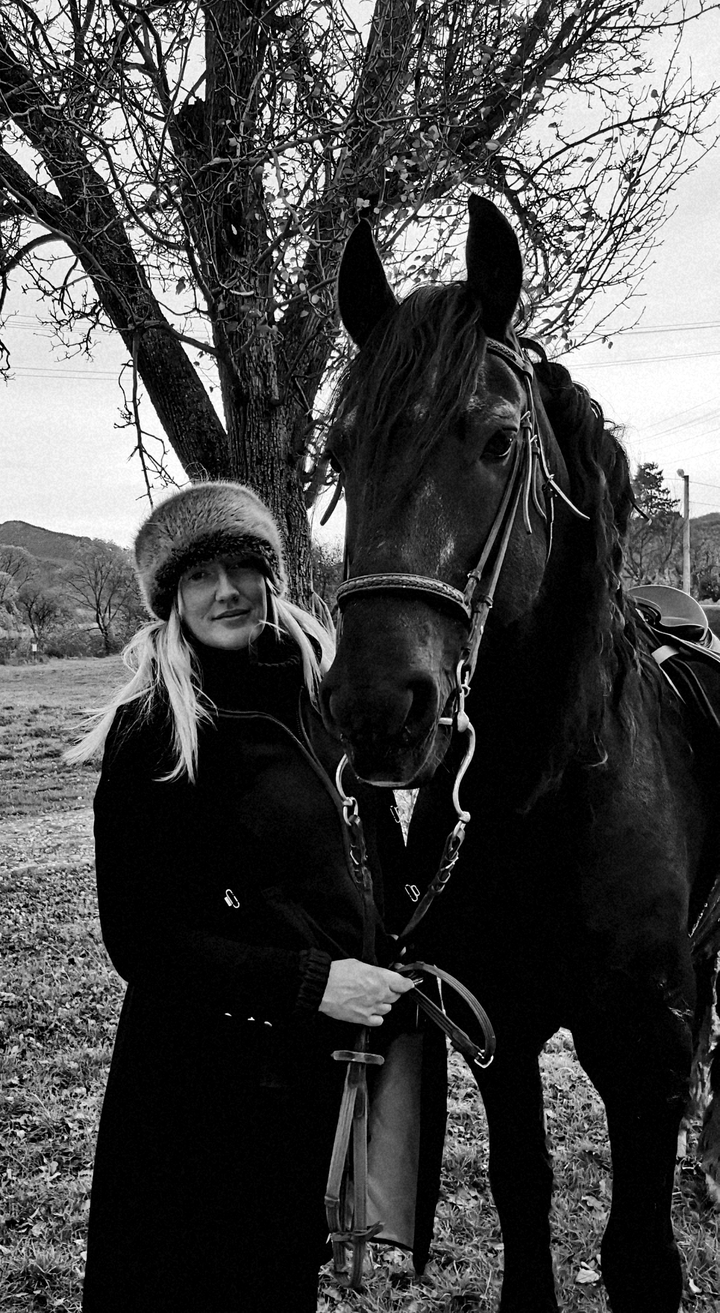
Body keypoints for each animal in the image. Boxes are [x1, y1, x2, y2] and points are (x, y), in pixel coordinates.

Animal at [319, 195, 720, 1313]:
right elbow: (522, 1197)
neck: (551, 790)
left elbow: (640, 1255)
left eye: (500, 440)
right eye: (340, 451)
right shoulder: (498, 1026)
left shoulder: (640, 1048)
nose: (379, 708)